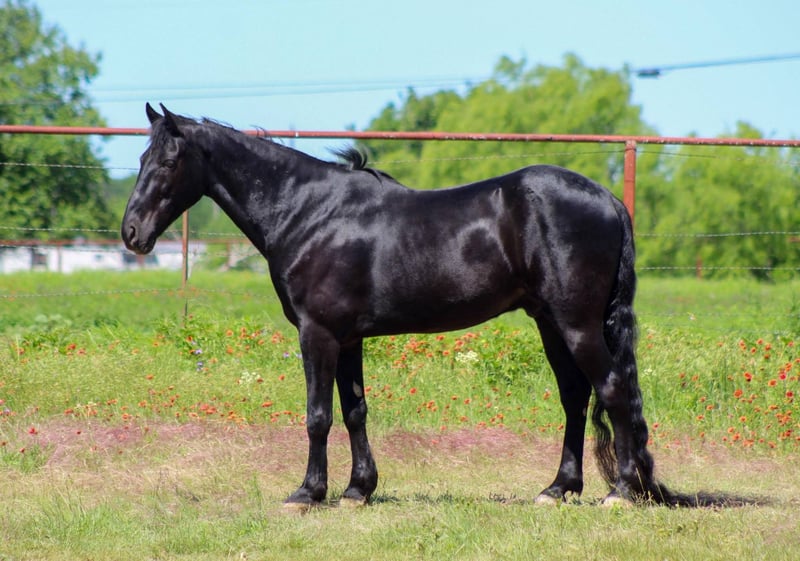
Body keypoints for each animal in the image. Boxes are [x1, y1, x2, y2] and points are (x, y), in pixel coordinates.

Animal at [121, 103, 708, 509]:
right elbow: (354, 411)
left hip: (577, 324)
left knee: (611, 391)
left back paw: (621, 492)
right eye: (141, 158)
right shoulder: (347, 338)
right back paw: (558, 489)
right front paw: (358, 491)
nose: (131, 234)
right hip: (551, 324)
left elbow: (317, 415)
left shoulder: (318, 333)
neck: (309, 212)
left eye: (169, 161)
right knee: (576, 398)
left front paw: (308, 493)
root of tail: (608, 200)